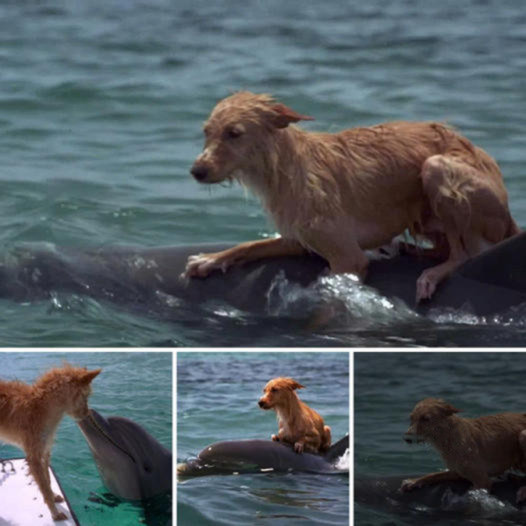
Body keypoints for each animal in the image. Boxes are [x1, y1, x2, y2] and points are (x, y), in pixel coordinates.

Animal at [0, 368, 101, 524]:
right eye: (86, 395)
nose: (87, 413)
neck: (42, 409)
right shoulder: (34, 456)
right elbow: (44, 486)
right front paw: (55, 513)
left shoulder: (45, 451)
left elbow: (47, 479)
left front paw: (53, 497)